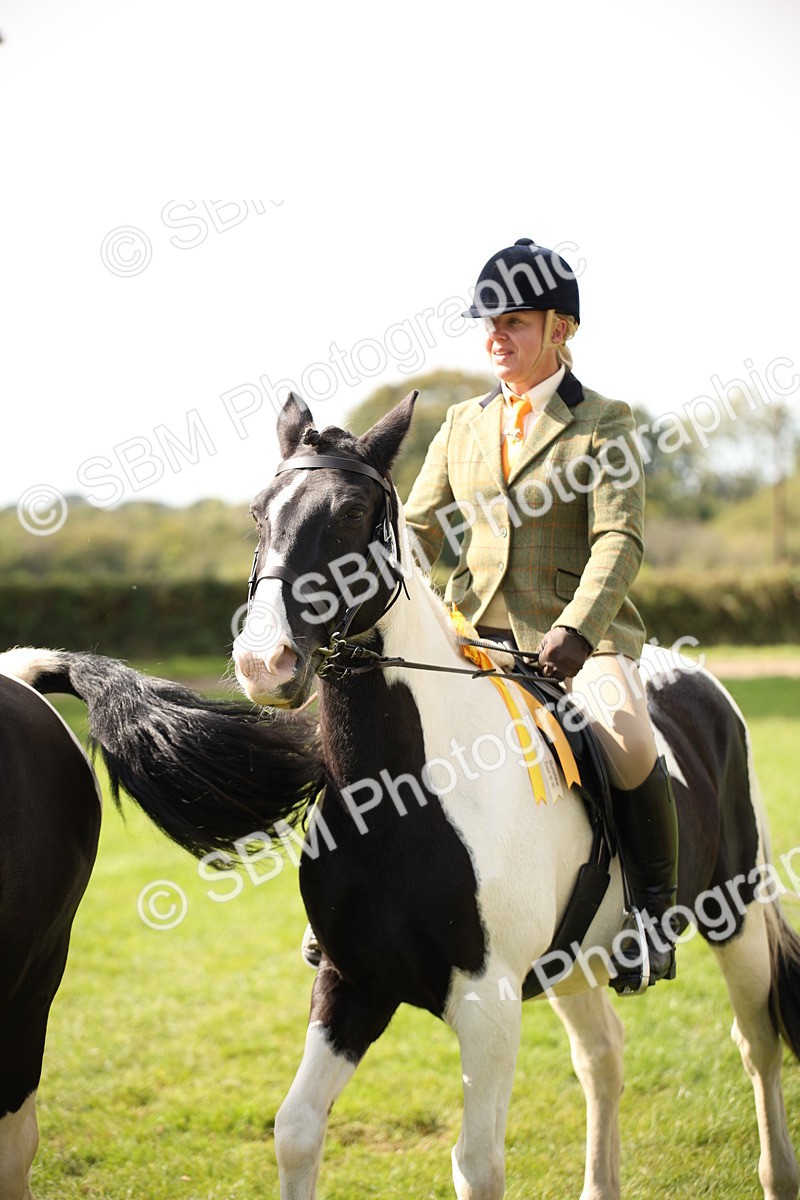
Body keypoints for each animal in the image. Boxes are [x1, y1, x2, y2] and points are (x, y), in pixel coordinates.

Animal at [3, 389, 800, 1198]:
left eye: (353, 512)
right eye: (259, 512)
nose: (265, 663)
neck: (397, 798)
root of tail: (695, 677)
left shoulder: (487, 1003)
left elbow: (476, 1165)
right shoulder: (352, 982)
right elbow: (296, 1132)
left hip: (735, 911)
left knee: (756, 1042)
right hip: (573, 961)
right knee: (602, 1056)